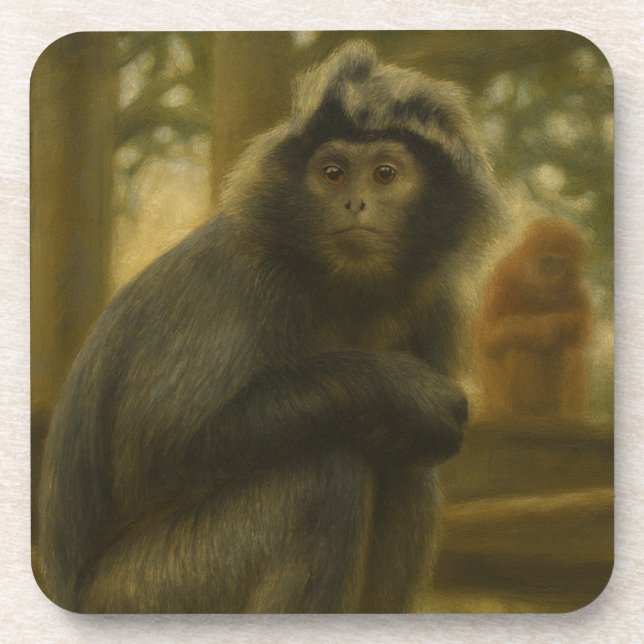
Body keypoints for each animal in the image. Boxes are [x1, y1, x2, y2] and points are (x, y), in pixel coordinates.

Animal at [37, 40, 499, 613]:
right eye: (333, 174)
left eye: (385, 175)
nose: (355, 203)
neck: (338, 284)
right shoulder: (234, 282)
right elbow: (157, 454)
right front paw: (400, 387)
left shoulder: (437, 301)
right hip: (148, 589)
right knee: (320, 474)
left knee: (404, 469)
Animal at [475, 217, 592, 420]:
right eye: (547, 261)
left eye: (560, 264)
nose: (552, 274)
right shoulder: (504, 275)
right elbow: (487, 338)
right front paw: (542, 327)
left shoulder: (574, 286)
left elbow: (579, 333)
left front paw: (561, 325)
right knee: (516, 345)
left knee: (568, 349)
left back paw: (568, 415)